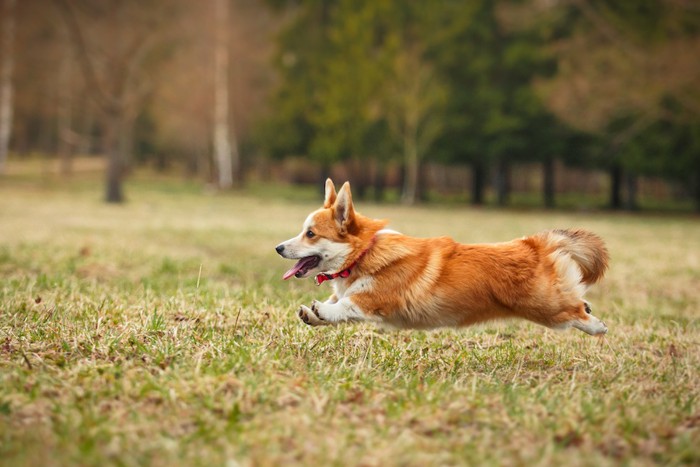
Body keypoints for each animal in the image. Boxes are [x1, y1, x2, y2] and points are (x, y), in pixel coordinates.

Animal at [274, 177, 608, 334]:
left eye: (310, 233)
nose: (278, 248)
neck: (363, 253)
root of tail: (534, 244)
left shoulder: (376, 299)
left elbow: (345, 305)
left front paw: (321, 310)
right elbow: (334, 306)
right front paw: (312, 314)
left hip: (545, 306)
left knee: (574, 310)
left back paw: (597, 326)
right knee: (578, 301)